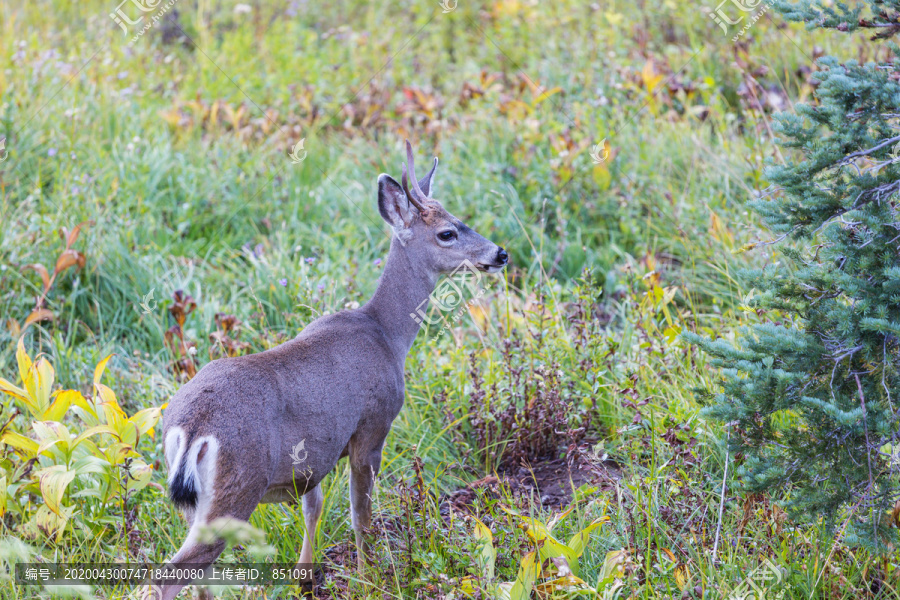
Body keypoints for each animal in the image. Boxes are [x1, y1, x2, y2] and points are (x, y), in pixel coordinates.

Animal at [151, 142, 510, 600]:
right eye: (448, 232)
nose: (500, 254)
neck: (387, 334)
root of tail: (191, 427)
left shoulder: (314, 459)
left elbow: (314, 507)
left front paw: (305, 577)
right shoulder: (372, 426)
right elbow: (360, 514)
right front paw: (370, 575)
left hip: (193, 501)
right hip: (236, 486)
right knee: (170, 573)